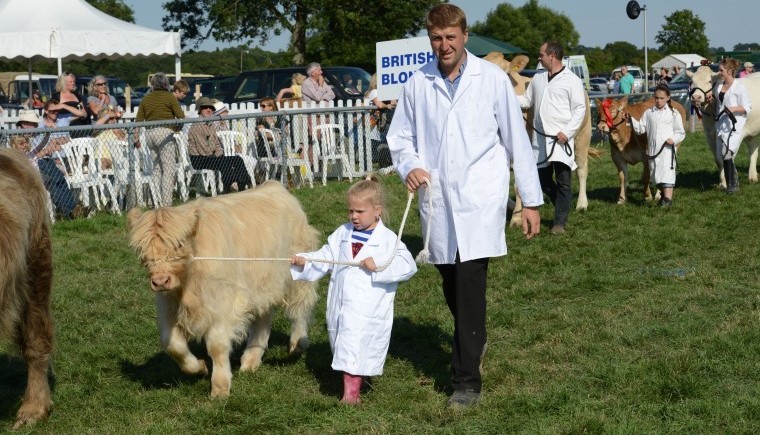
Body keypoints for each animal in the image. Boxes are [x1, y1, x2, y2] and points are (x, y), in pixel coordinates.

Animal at [129, 183, 320, 398]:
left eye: (178, 244)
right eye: (141, 249)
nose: (161, 281)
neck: (189, 284)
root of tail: (273, 185)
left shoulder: (223, 304)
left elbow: (217, 345)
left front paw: (220, 386)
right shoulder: (168, 306)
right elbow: (172, 345)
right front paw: (199, 367)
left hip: (297, 275)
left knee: (300, 310)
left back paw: (297, 345)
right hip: (261, 285)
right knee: (263, 318)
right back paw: (251, 358)